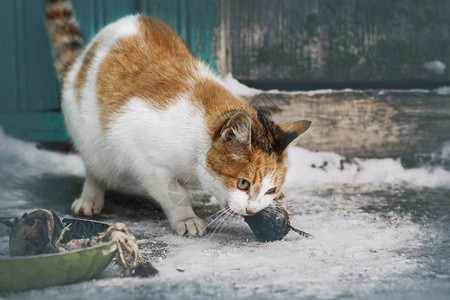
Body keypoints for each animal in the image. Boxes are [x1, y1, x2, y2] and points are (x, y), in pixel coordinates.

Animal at [44, 0, 310, 237]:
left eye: (272, 189)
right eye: (243, 183)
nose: (253, 210)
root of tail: (80, 58)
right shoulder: (146, 158)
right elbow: (173, 193)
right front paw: (186, 218)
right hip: (89, 136)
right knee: (95, 169)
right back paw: (90, 198)